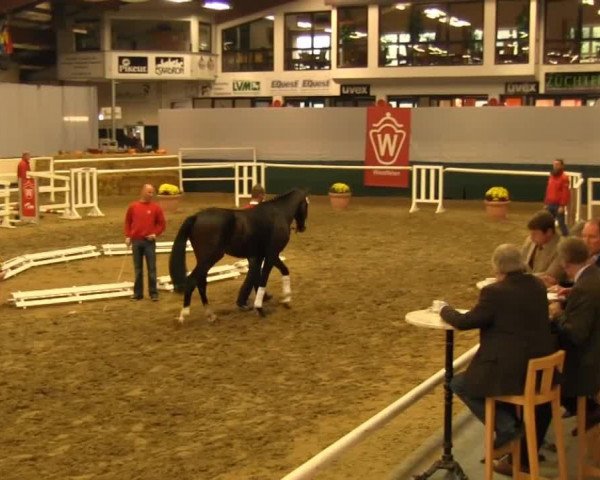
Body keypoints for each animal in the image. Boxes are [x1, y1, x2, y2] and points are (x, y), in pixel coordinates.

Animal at [169, 189, 310, 324]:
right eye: (306, 204)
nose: (302, 227)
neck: (279, 213)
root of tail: (196, 217)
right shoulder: (272, 255)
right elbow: (267, 278)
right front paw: (262, 307)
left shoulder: (262, 256)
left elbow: (276, 273)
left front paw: (285, 300)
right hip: (209, 258)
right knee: (192, 280)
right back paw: (183, 315)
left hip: (204, 260)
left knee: (201, 282)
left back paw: (211, 315)